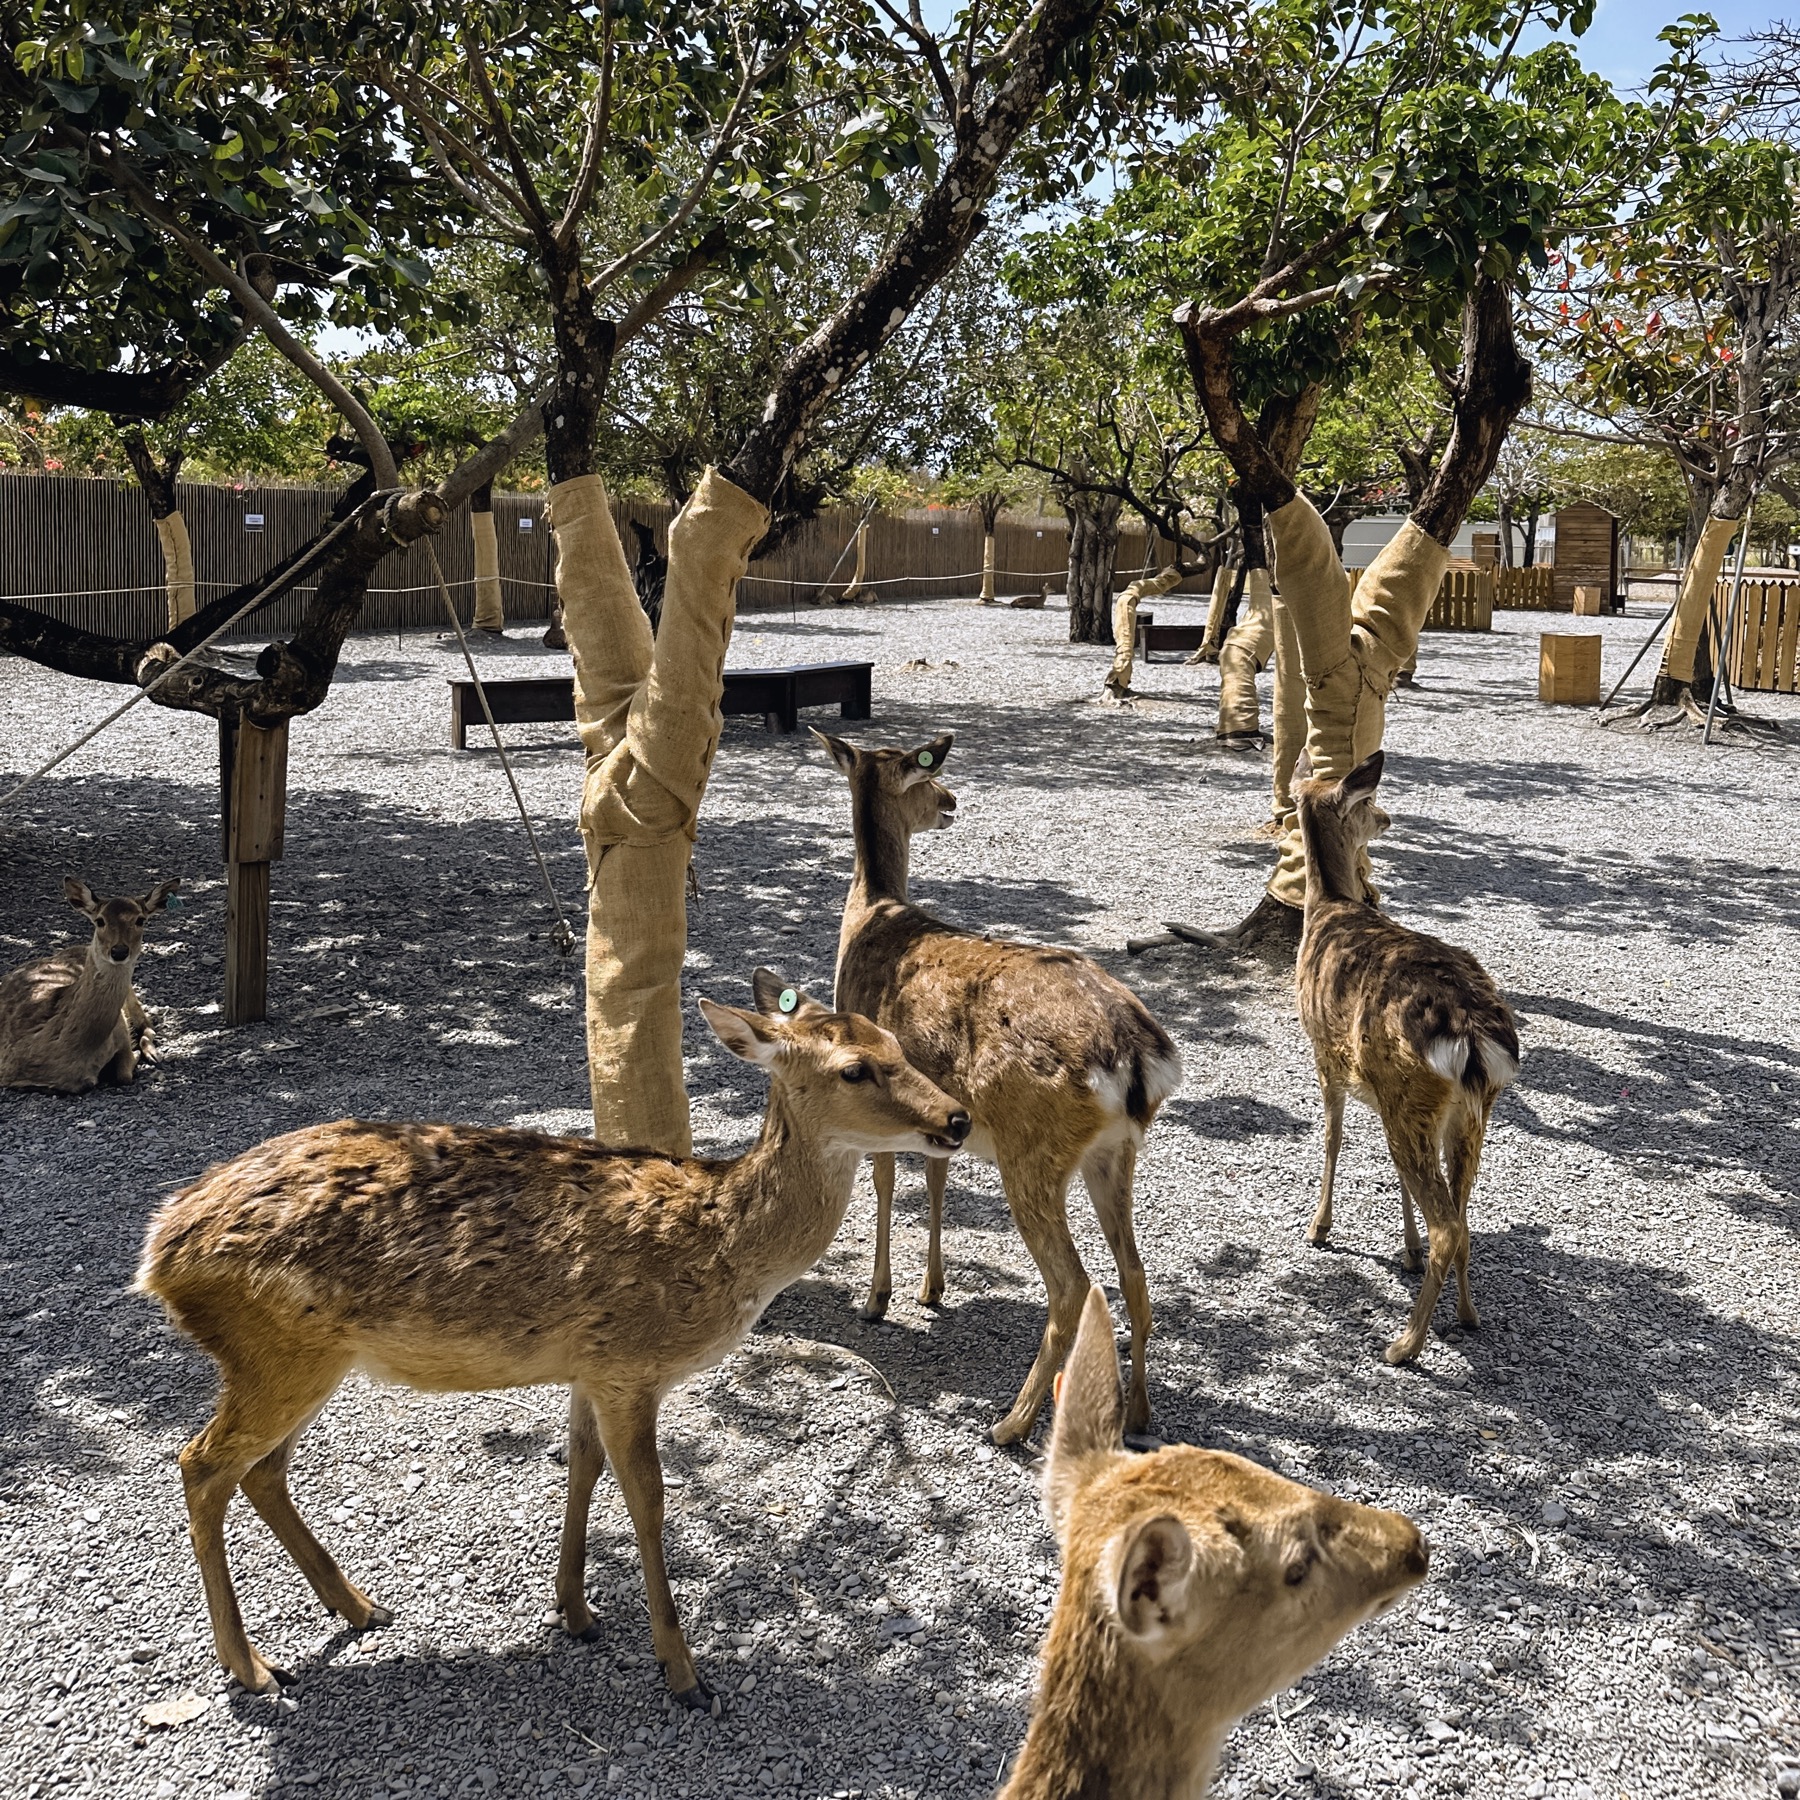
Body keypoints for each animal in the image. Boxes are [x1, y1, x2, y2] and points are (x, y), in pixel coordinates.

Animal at [0, 876, 179, 1094]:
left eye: (140, 920)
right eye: (100, 920)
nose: (119, 951)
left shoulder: (120, 1029)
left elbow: (124, 1074)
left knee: (148, 1024)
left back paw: (153, 1053)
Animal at [134, 973, 970, 1704]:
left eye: (897, 1042)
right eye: (855, 1069)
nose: (957, 1118)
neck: (719, 1246)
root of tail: (158, 1252)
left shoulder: (588, 1366)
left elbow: (581, 1468)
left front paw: (574, 1609)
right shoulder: (630, 1362)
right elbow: (648, 1499)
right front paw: (684, 1674)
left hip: (302, 1359)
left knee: (261, 1471)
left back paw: (361, 1606)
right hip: (274, 1350)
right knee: (201, 1465)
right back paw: (252, 1667)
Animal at [814, 730, 1182, 1447]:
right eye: (926, 778)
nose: (952, 799)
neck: (869, 914)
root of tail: (1135, 1057)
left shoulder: (873, 1090)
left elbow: (884, 1185)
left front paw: (877, 1299)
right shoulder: (939, 1113)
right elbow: (934, 1180)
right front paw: (930, 1289)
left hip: (1031, 1148)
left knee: (1072, 1286)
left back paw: (1011, 1423)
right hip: (1114, 1152)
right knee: (1134, 1273)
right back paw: (1138, 1413)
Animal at [1293, 750, 1520, 1365]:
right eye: (1370, 802)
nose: (1388, 817)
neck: (1327, 907)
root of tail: (1472, 1030)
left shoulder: (1323, 1053)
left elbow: (1332, 1138)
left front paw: (1318, 1228)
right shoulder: (1382, 1092)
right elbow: (1392, 1173)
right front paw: (1408, 1251)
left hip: (1412, 1095)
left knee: (1450, 1223)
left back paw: (1405, 1344)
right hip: (1465, 1109)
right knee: (1462, 1216)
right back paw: (1466, 1314)